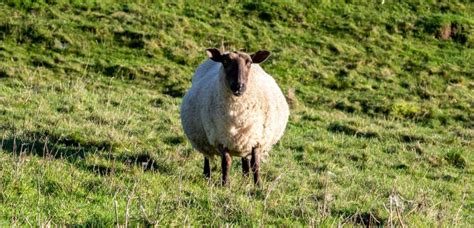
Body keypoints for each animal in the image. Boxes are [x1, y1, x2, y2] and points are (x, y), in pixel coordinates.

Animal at [180, 48, 288, 185]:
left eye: (249, 62)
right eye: (225, 61)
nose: (239, 86)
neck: (238, 114)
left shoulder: (257, 139)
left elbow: (255, 164)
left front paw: (258, 185)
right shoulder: (220, 139)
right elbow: (226, 163)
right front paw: (225, 184)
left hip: (245, 141)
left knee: (245, 162)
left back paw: (245, 180)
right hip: (204, 139)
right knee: (207, 156)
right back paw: (207, 175)